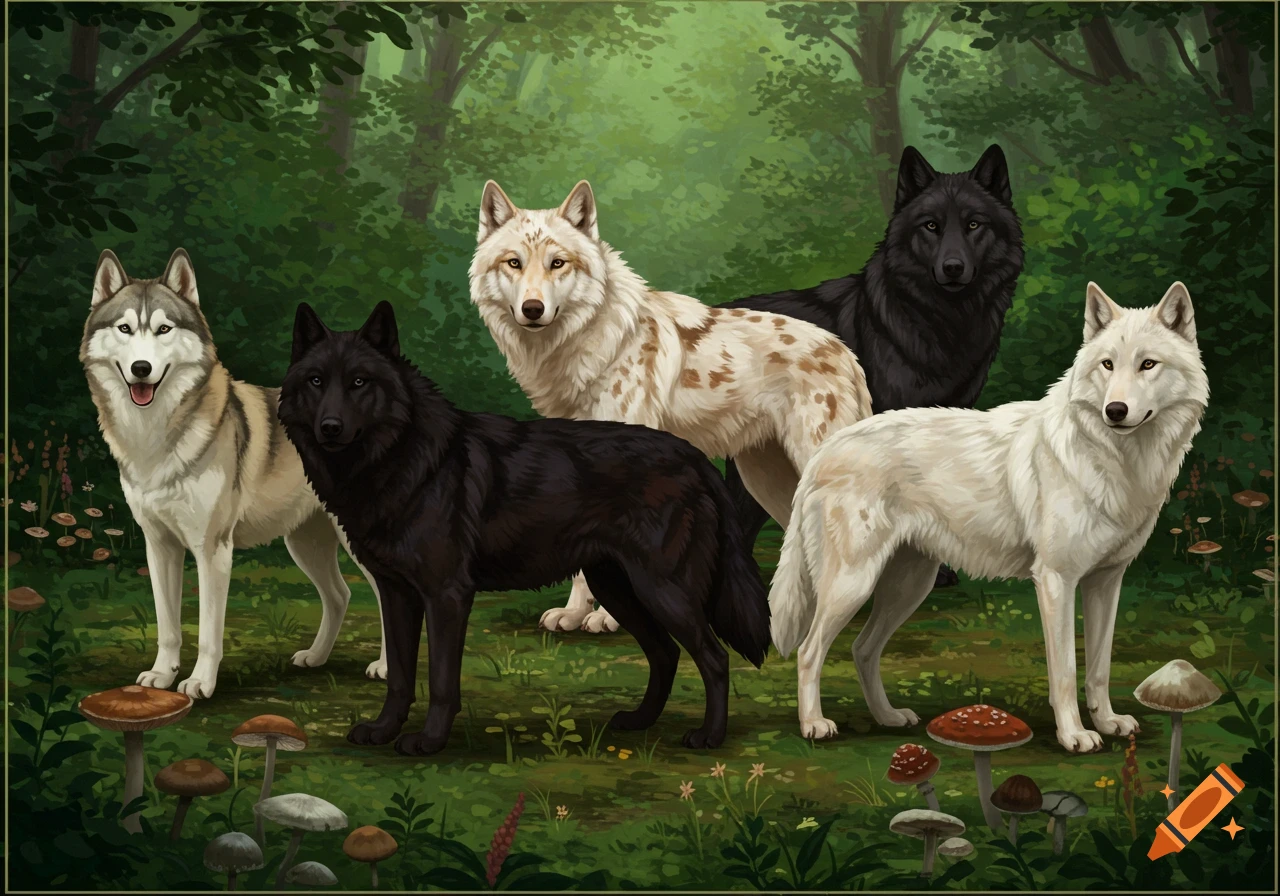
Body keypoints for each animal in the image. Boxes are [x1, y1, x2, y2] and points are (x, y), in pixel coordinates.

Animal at [80, 248, 387, 698]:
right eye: (125, 328)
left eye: (164, 329)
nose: (141, 368)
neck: (156, 437)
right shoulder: (160, 547)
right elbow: (168, 626)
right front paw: (162, 675)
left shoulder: (212, 551)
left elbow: (209, 632)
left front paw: (199, 684)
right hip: (304, 545)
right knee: (340, 595)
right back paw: (315, 658)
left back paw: (385, 667)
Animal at [278, 301, 771, 755]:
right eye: (316, 381)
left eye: (359, 382)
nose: (330, 427)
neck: (405, 459)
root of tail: (694, 458)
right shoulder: (397, 594)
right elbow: (399, 677)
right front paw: (382, 732)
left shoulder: (446, 596)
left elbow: (441, 681)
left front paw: (430, 741)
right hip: (619, 589)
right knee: (665, 654)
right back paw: (639, 721)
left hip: (664, 591)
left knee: (714, 658)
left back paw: (710, 737)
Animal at [469, 180, 872, 634]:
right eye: (514, 263)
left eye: (558, 263)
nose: (533, 309)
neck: (589, 345)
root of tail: (846, 353)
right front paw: (574, 614)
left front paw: (608, 617)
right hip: (769, 481)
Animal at [767, 282, 1207, 753]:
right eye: (1108, 365)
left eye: (1148, 364)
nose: (1116, 411)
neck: (1115, 460)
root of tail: (825, 451)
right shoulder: (1056, 581)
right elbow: (1066, 671)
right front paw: (1074, 735)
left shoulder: (1106, 583)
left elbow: (1099, 668)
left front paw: (1107, 723)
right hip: (852, 585)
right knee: (809, 651)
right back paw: (814, 725)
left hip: (908, 586)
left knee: (862, 650)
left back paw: (888, 717)